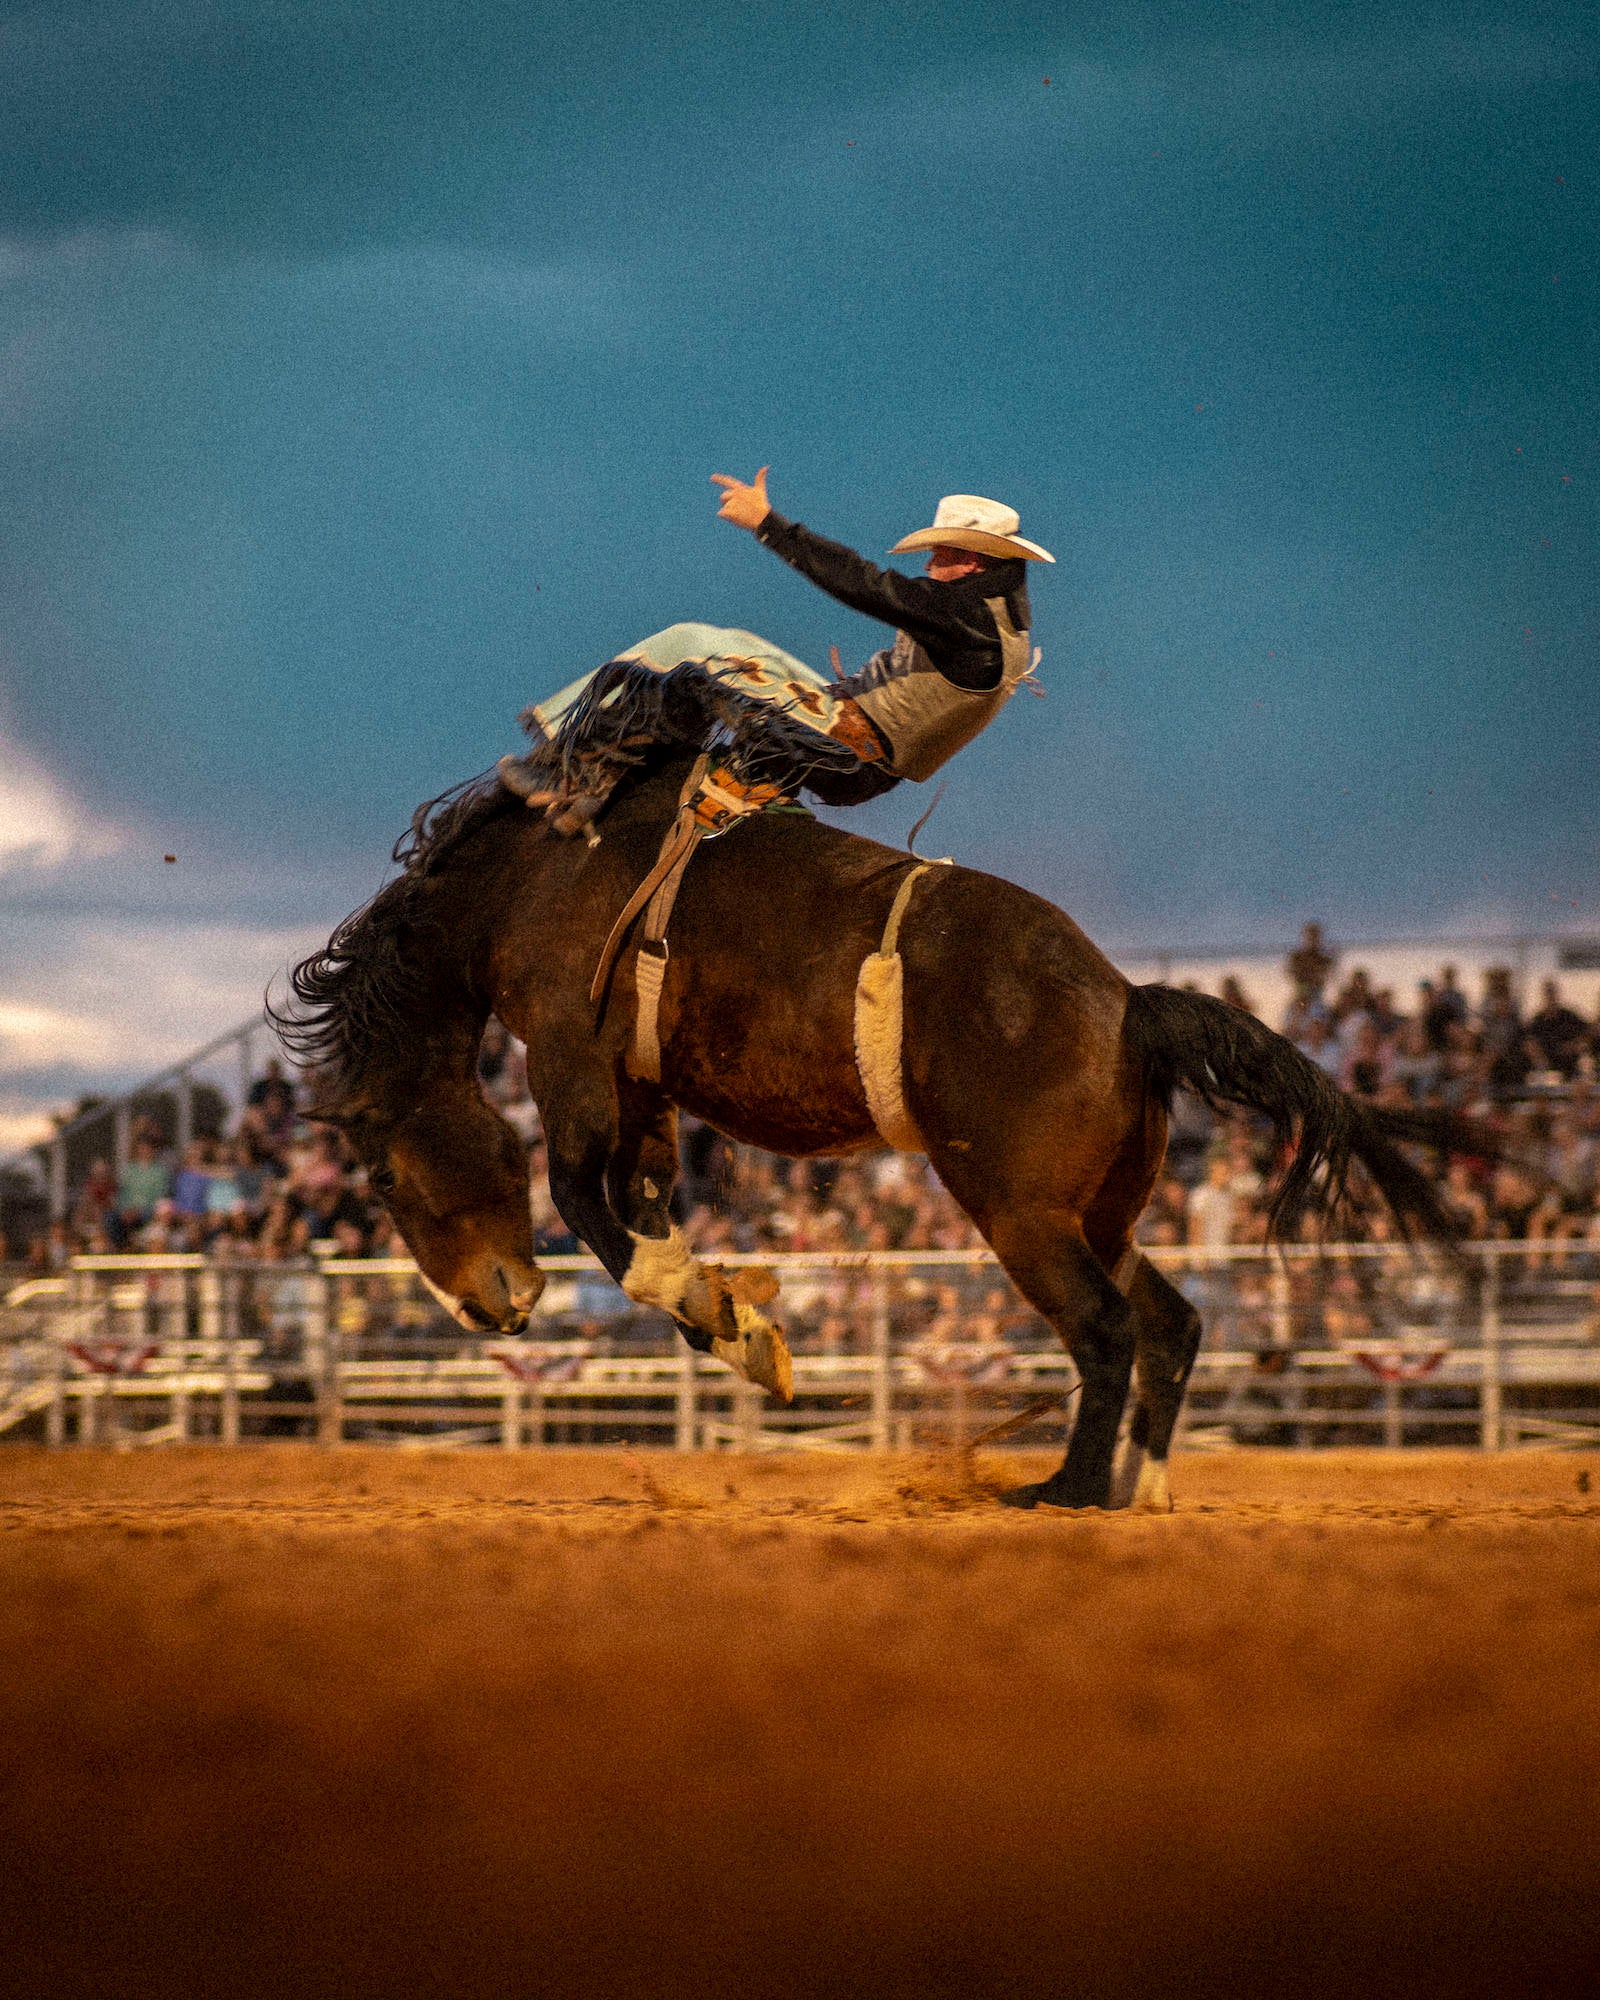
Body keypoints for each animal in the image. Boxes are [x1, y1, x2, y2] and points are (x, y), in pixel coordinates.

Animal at [274, 751, 1460, 1511]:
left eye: (381, 1179)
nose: (485, 1309)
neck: (528, 878)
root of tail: (1127, 1002)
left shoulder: (567, 1056)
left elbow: (587, 1204)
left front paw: (724, 1319)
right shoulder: (640, 1085)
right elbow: (641, 1201)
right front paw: (724, 1312)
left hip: (1019, 1214)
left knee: (1106, 1329)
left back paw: (1067, 1491)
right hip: (1103, 1213)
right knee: (1169, 1322)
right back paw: (1145, 1486)